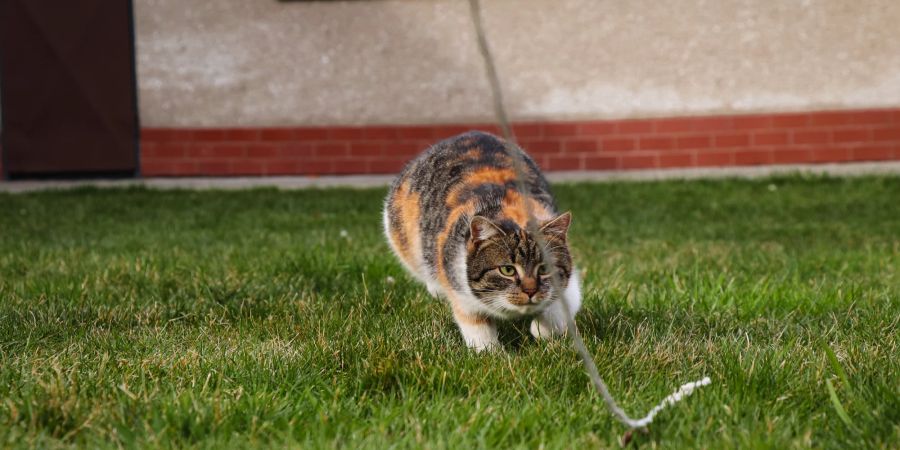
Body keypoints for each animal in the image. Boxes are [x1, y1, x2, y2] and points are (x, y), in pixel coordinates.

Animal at [382, 131, 580, 352]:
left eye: (545, 268)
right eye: (507, 270)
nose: (530, 290)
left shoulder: (571, 286)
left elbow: (558, 309)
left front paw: (540, 330)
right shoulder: (459, 286)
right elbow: (477, 327)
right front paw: (492, 353)